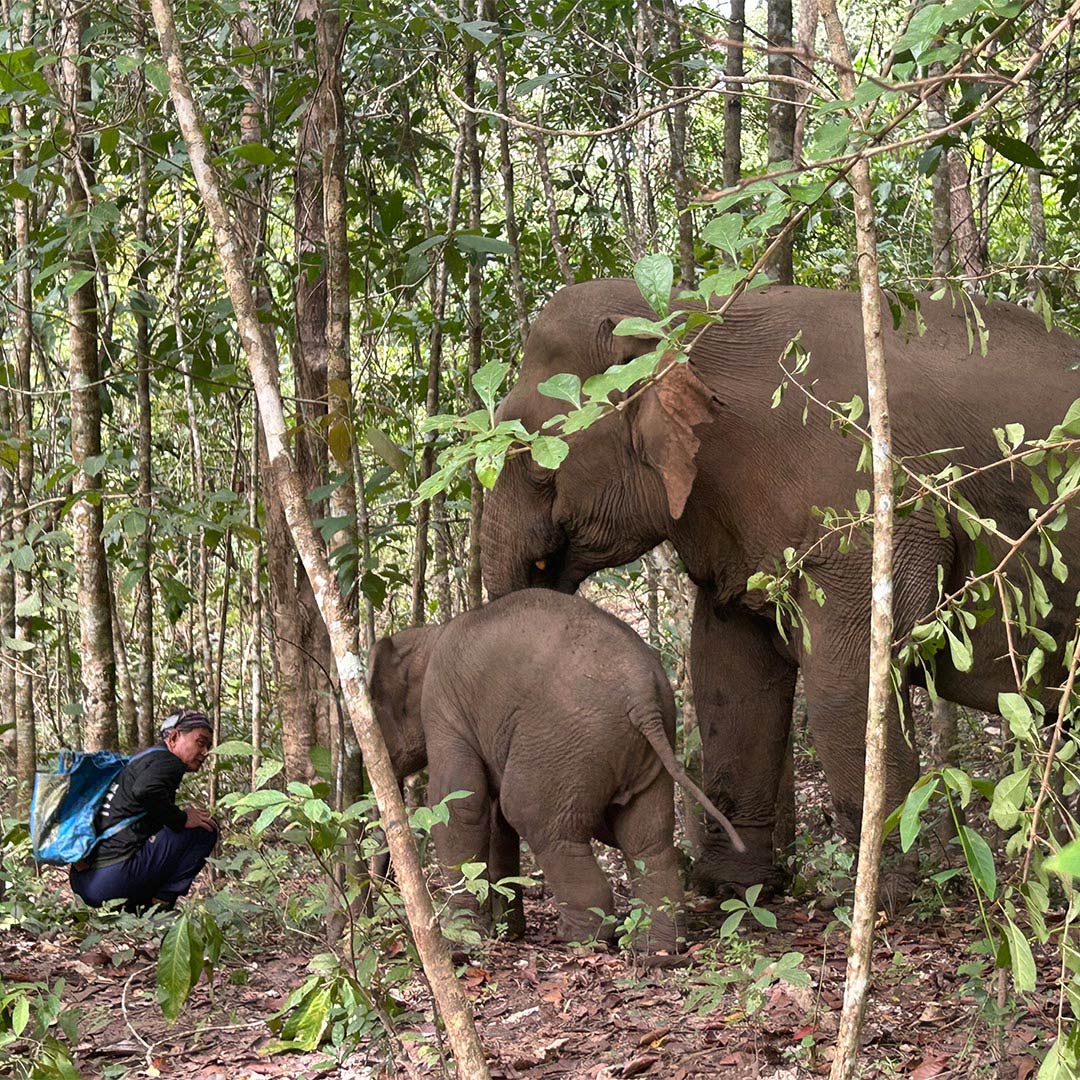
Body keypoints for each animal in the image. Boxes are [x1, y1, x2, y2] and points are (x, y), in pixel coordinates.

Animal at [367, 588, 743, 953]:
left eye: (373, 713)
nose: (381, 887)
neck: (431, 636)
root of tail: (643, 697)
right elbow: (496, 820)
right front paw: (506, 931)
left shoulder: (444, 708)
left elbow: (459, 804)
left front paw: (461, 935)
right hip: (643, 746)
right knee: (647, 838)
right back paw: (658, 950)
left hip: (569, 739)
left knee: (534, 817)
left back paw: (579, 937)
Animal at [480, 278, 1080, 905]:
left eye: (531, 457)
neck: (686, 319)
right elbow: (727, 676)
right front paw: (730, 887)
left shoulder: (866, 509)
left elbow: (848, 683)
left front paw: (880, 898)